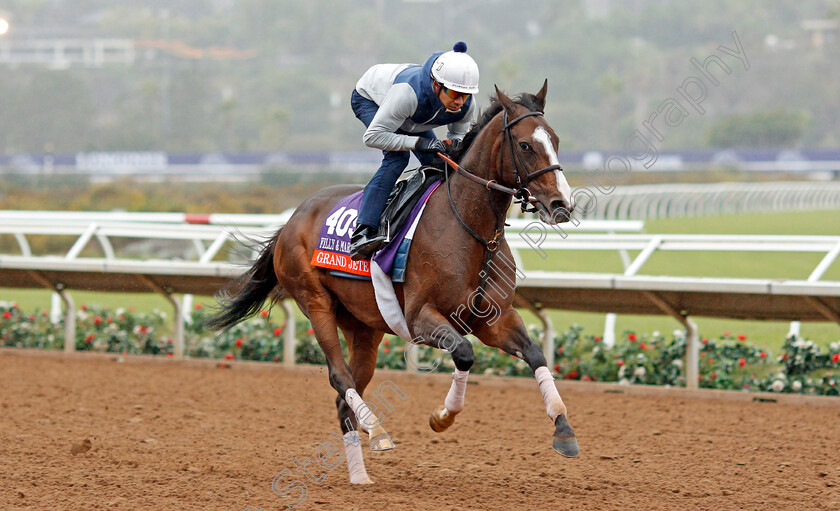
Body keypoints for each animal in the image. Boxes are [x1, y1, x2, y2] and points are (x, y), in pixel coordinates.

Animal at [207, 82, 580, 486]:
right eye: (525, 145)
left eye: (556, 140)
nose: (562, 203)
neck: (470, 230)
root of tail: (294, 218)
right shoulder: (419, 318)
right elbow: (465, 353)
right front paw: (442, 417)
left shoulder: (494, 319)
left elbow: (535, 354)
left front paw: (564, 430)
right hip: (315, 302)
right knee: (340, 378)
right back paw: (378, 431)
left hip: (364, 326)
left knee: (346, 393)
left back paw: (359, 474)